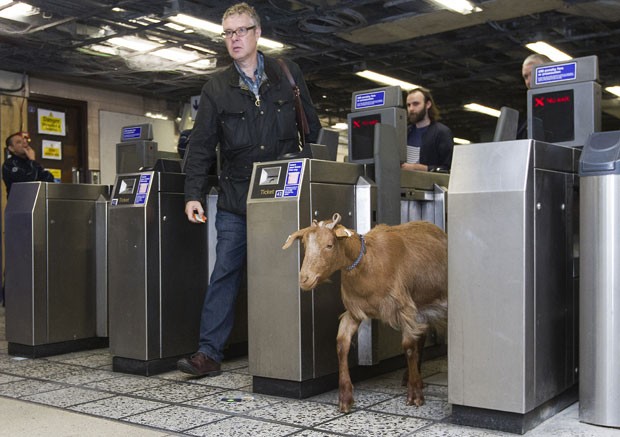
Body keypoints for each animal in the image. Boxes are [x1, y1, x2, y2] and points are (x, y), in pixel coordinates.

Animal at [280, 214, 446, 412]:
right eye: (305, 244)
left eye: (329, 245)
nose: (305, 279)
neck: (368, 264)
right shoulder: (354, 312)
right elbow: (341, 344)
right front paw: (345, 397)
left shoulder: (404, 309)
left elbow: (408, 347)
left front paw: (415, 396)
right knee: (421, 336)